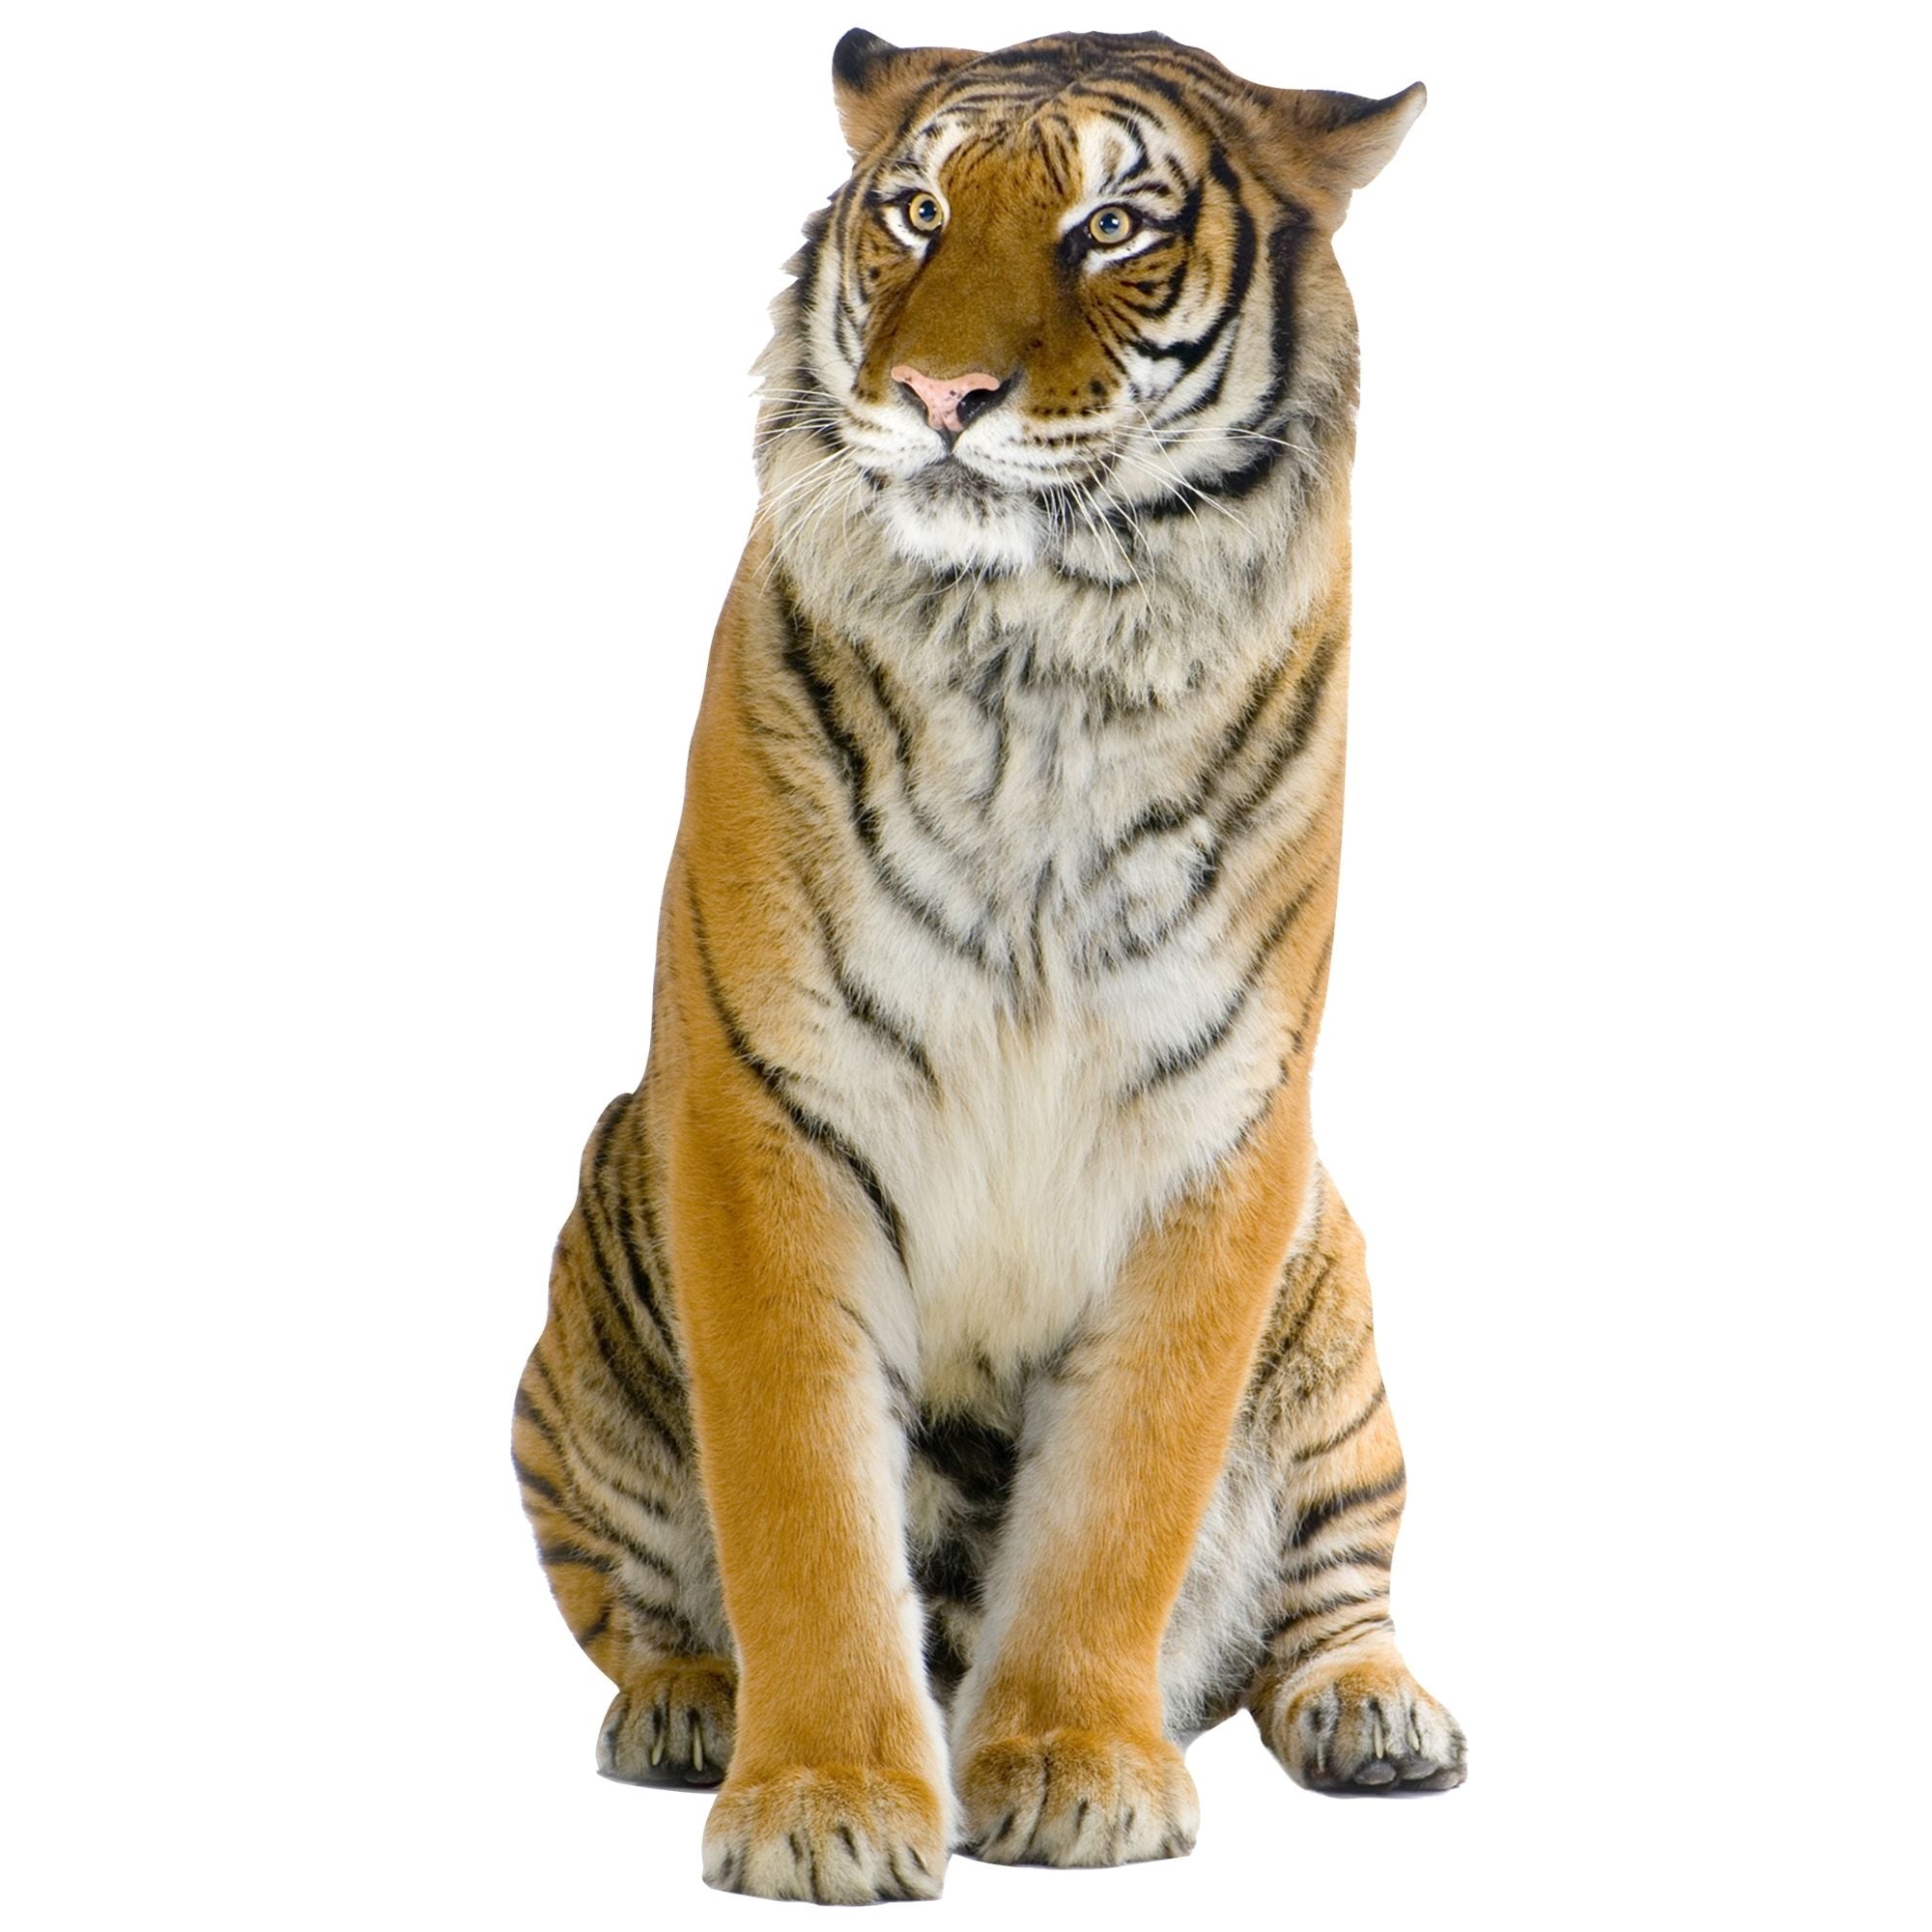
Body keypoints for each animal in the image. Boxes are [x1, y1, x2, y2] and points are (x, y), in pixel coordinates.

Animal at [512, 26, 1463, 1904]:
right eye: (918, 214)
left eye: (1113, 226)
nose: (942, 395)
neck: (1039, 651)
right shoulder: (767, 1118)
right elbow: (800, 1504)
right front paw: (819, 1804)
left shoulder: (1215, 1138)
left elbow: (1122, 1498)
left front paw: (1077, 1771)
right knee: (634, 1603)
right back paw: (685, 1704)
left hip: (1336, 1321)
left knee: (1330, 1591)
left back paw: (1378, 1715)